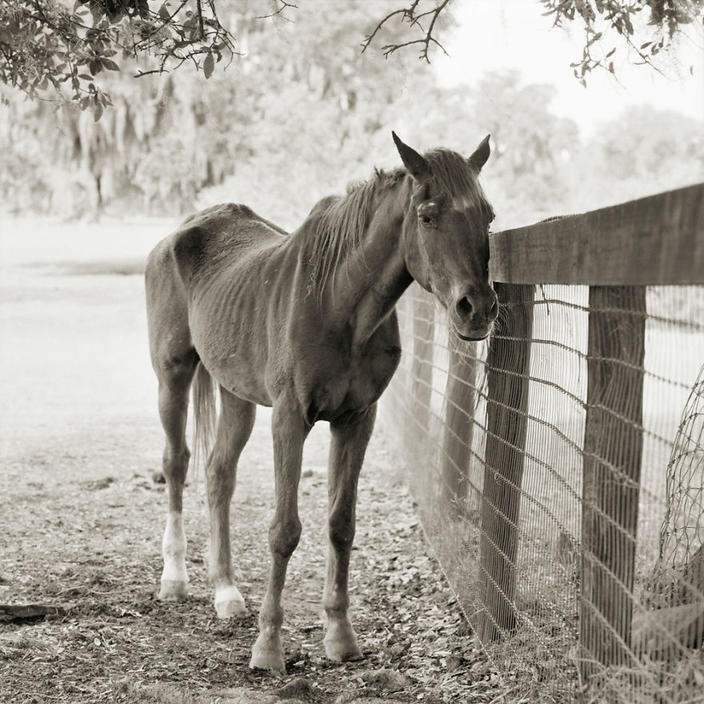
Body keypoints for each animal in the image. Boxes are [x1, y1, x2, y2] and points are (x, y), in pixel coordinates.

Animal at [143, 129, 498, 672]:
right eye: (427, 215)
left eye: (489, 216)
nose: (476, 308)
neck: (339, 303)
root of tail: (182, 232)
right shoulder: (291, 419)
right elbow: (284, 530)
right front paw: (269, 646)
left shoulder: (356, 419)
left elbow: (340, 524)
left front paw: (340, 636)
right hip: (173, 375)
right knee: (177, 463)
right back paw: (175, 579)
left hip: (236, 395)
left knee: (219, 474)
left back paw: (226, 592)